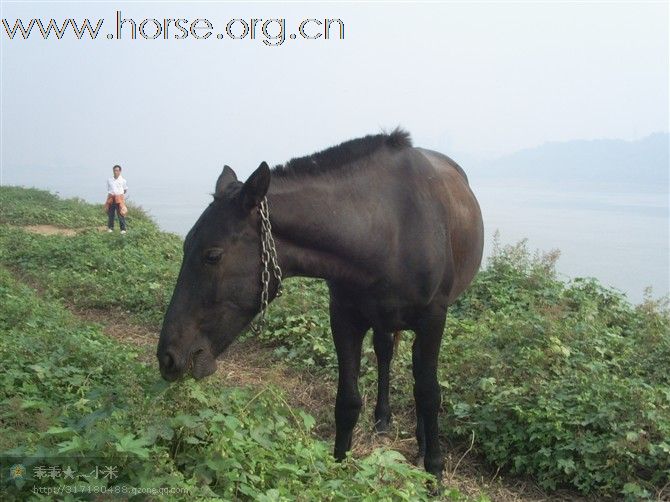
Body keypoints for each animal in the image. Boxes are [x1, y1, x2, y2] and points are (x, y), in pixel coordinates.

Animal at [156, 129, 484, 478]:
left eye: (213, 255)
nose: (168, 357)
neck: (387, 229)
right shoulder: (343, 317)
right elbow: (348, 401)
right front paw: (339, 469)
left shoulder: (433, 319)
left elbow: (428, 393)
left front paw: (435, 470)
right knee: (385, 353)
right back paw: (383, 419)